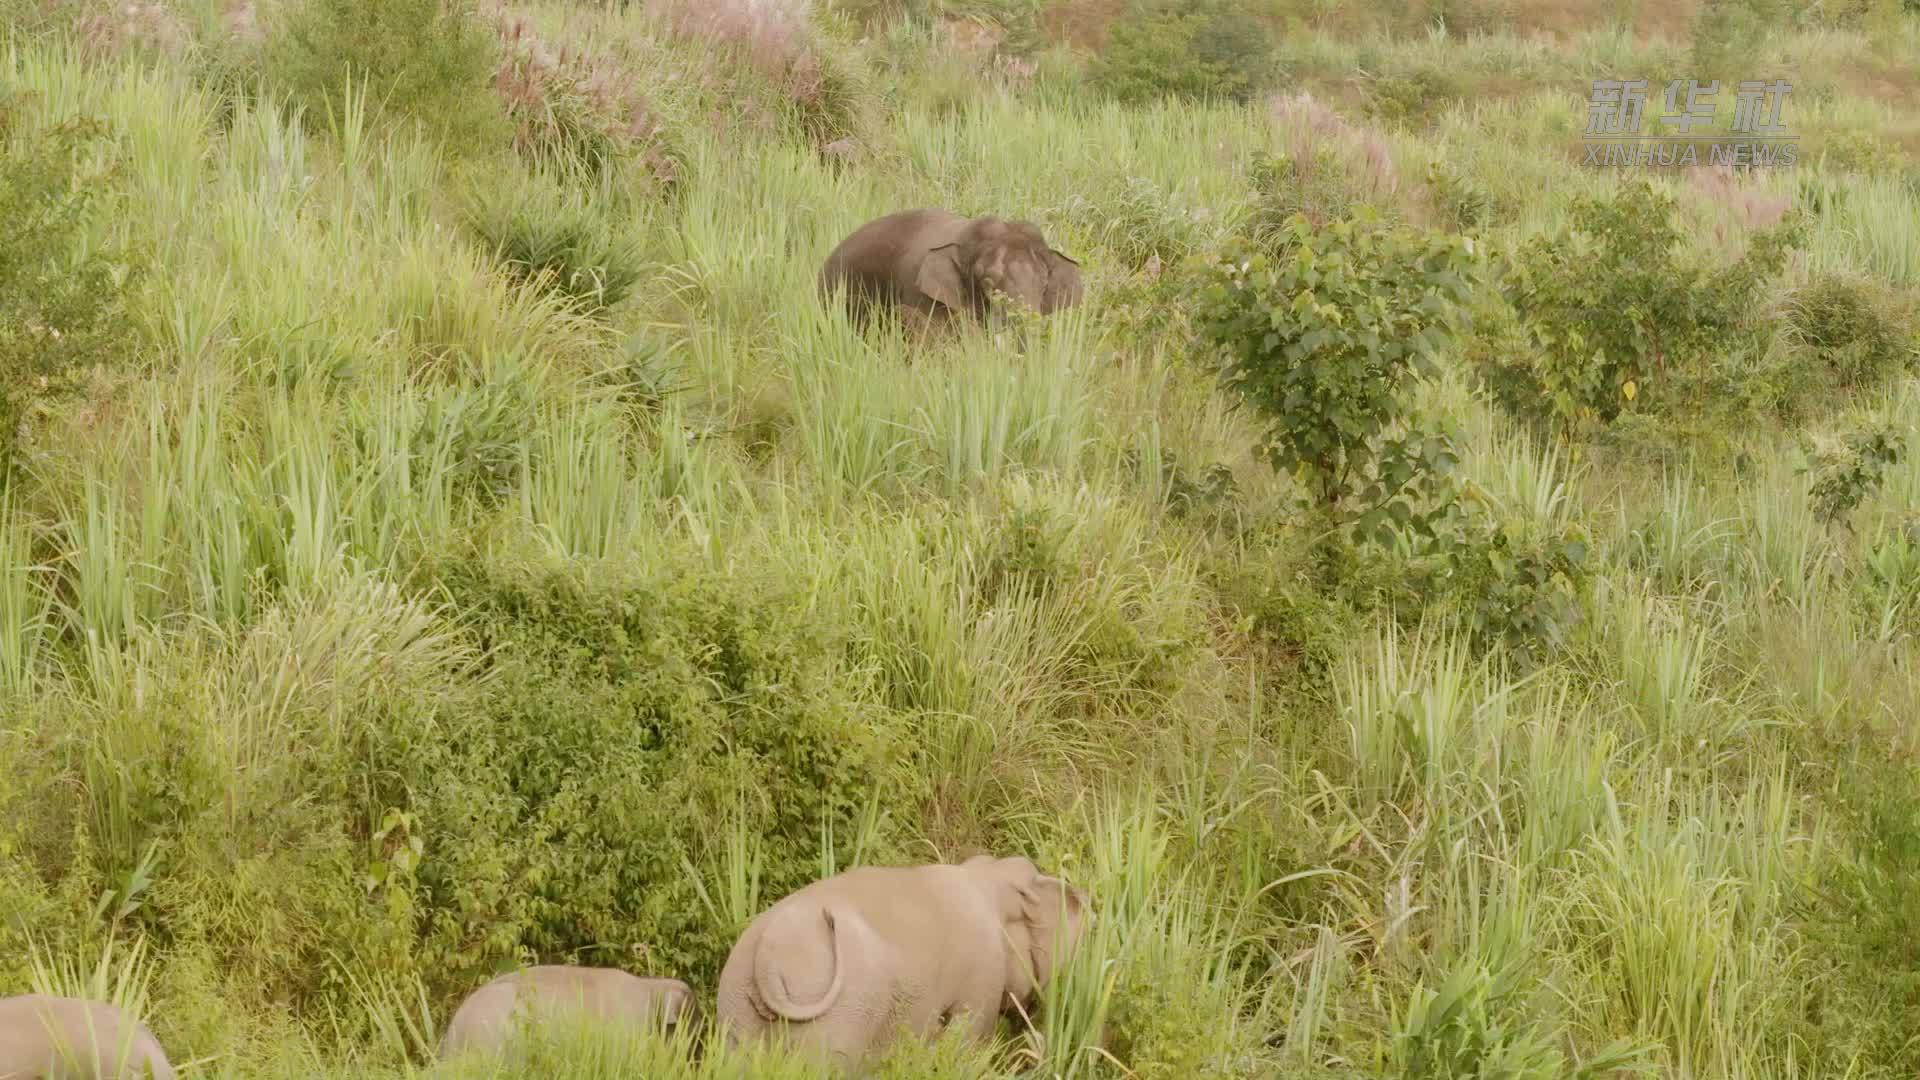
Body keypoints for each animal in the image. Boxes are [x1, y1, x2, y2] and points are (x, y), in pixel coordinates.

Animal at [714, 854, 1091, 1075]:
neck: (987, 875)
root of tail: (767, 954)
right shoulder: (984, 967)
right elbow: (968, 1041)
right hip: (840, 1014)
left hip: (736, 1001)